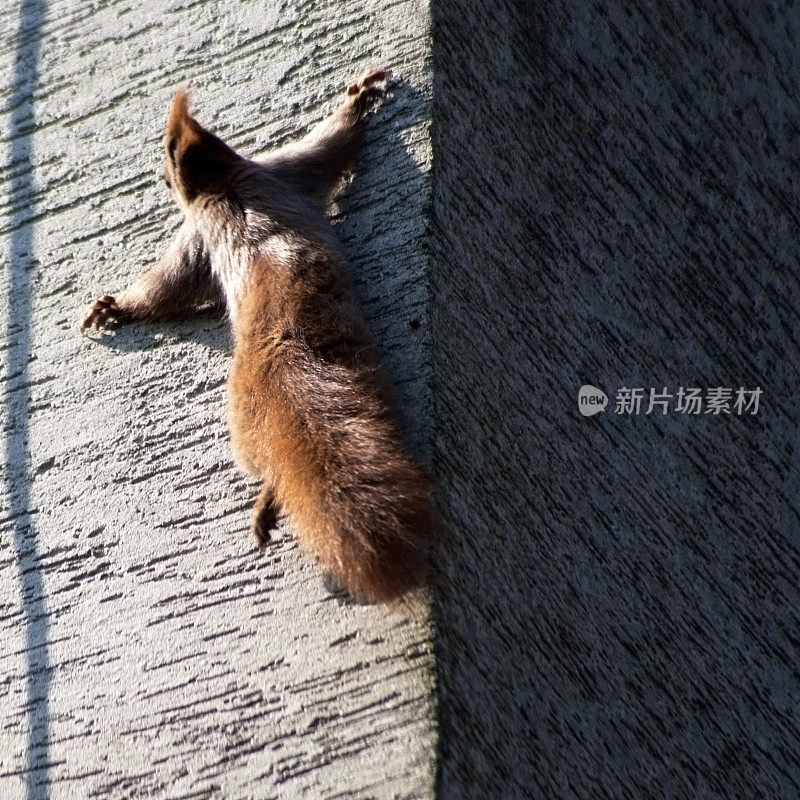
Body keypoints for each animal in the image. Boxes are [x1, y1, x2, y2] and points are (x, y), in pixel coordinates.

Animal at [79, 70, 438, 608]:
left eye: (166, 152)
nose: (160, 178)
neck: (223, 179)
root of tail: (283, 336)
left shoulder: (205, 227)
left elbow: (165, 287)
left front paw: (117, 306)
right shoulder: (280, 171)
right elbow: (326, 150)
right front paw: (359, 104)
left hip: (244, 428)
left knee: (265, 467)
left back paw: (265, 504)